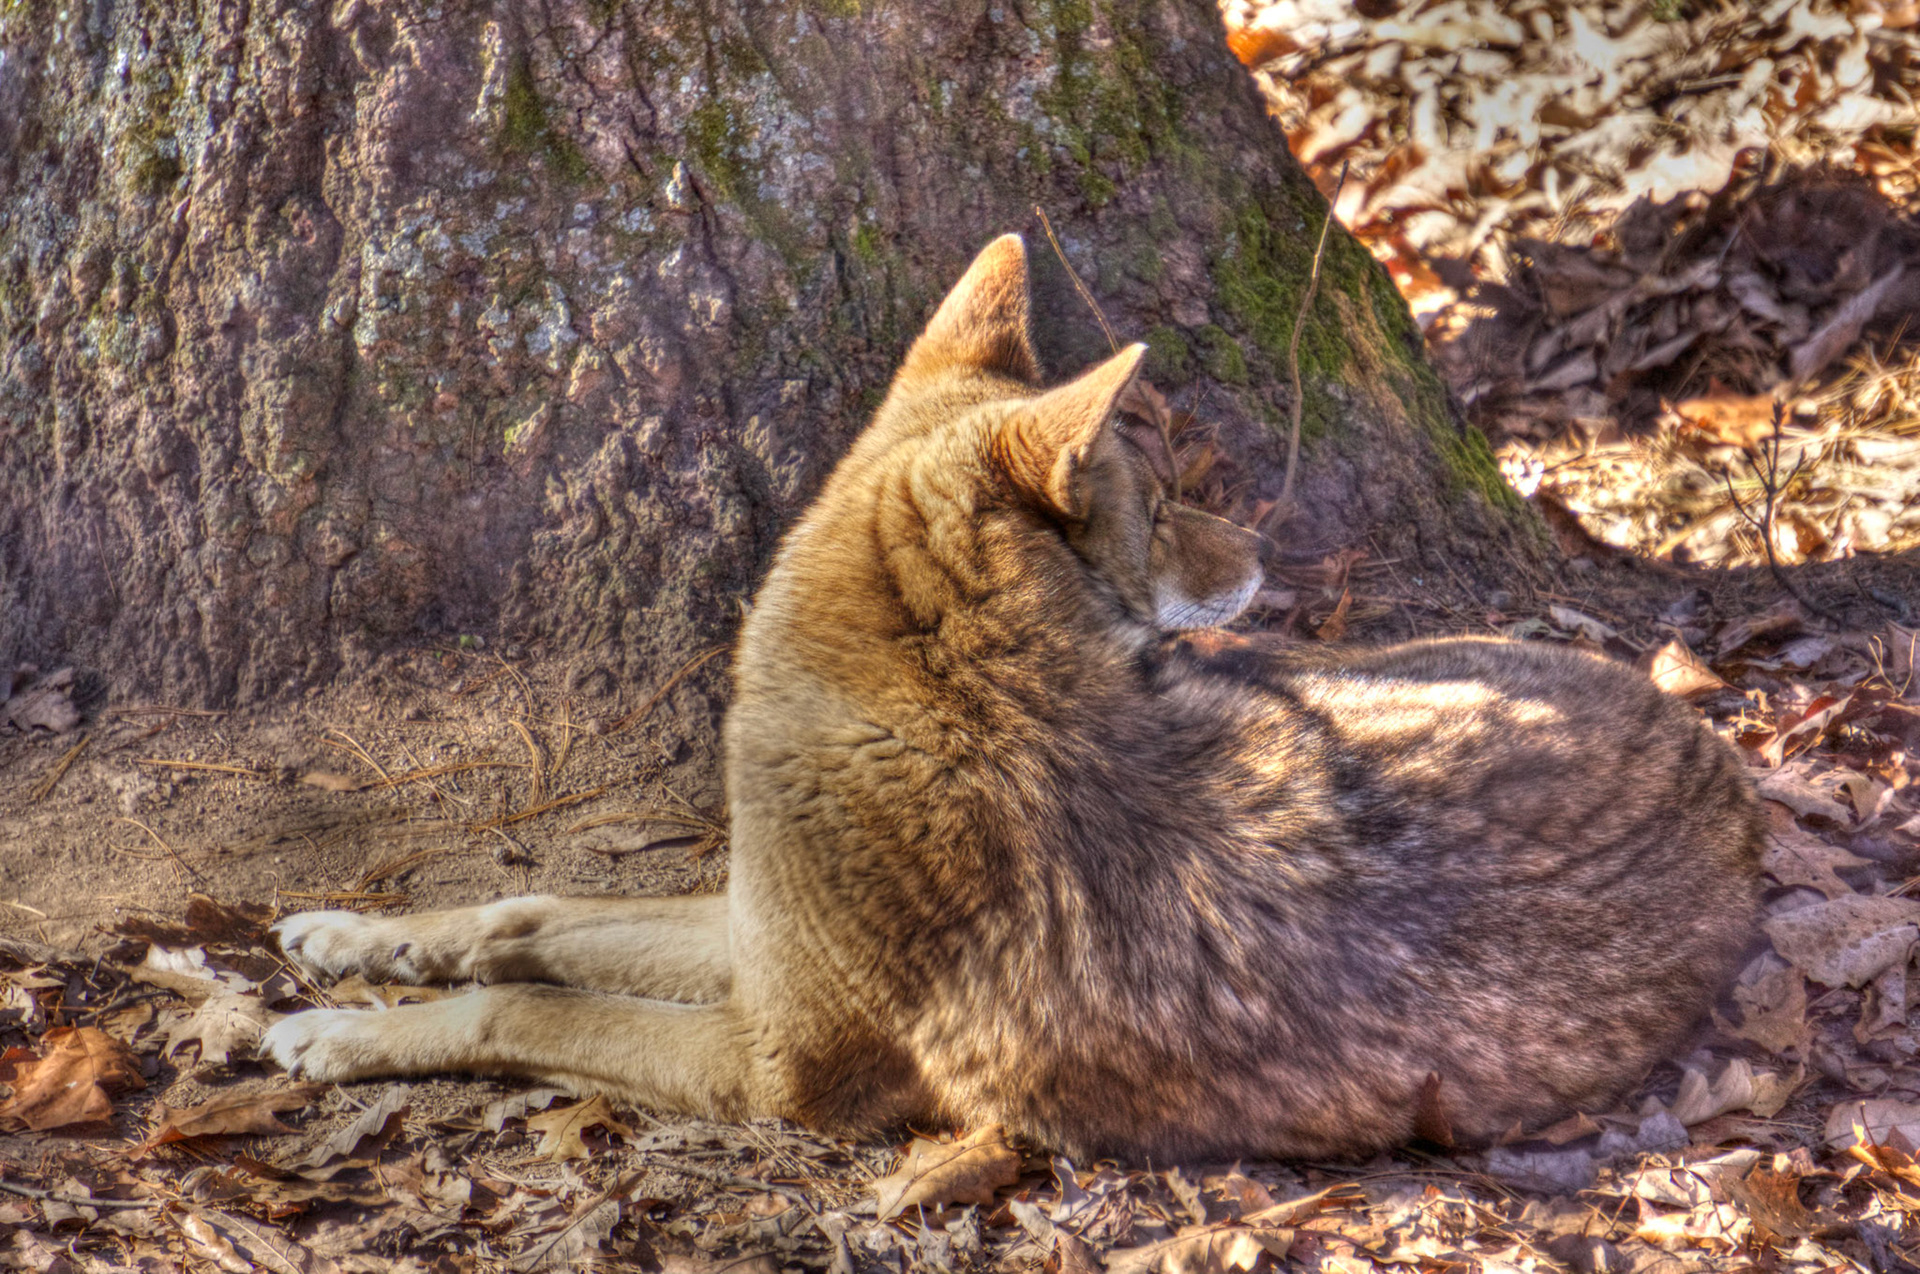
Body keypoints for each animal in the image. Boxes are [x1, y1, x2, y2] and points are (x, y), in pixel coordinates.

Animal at [263, 235, 1761, 1160]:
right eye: (1164, 501)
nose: (1261, 556)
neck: (957, 697)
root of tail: (1726, 768)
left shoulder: (775, 1066)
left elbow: (518, 1009)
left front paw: (333, 1029)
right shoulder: (750, 937)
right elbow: (520, 915)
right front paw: (354, 940)